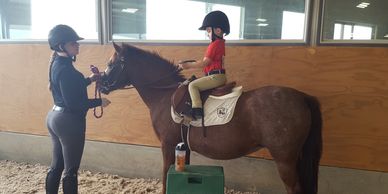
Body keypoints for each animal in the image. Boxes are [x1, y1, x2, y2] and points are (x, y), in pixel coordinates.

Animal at [99, 42, 322, 194]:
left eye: (111, 64)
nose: (100, 85)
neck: (164, 94)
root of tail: (302, 96)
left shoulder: (167, 145)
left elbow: (164, 177)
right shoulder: (183, 146)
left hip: (285, 159)